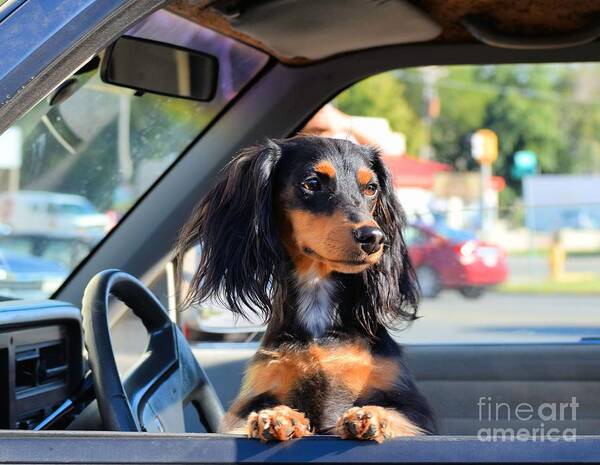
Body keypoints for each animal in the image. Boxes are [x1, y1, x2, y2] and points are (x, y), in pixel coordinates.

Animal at [176, 135, 434, 442]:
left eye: (371, 188)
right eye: (312, 183)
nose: (373, 238)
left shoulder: (413, 410)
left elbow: (399, 416)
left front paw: (371, 415)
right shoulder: (245, 406)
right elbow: (247, 420)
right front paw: (277, 416)